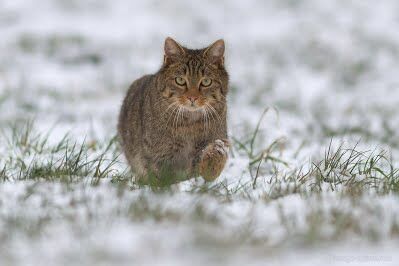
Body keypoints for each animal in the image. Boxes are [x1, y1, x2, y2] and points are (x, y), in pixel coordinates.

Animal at [118, 37, 231, 183]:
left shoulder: (217, 139)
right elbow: (162, 177)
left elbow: (216, 155)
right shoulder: (160, 155)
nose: (192, 97)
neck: (190, 124)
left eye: (206, 82)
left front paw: (210, 165)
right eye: (180, 80)